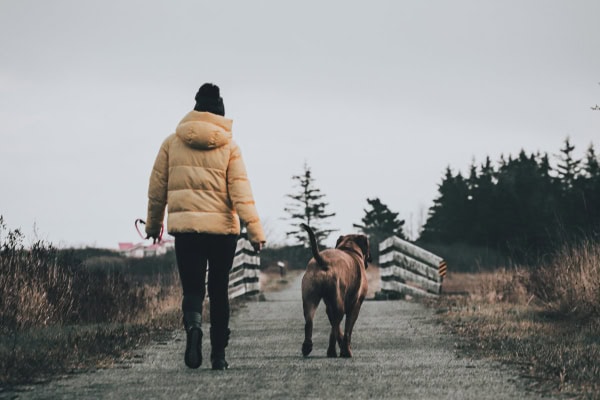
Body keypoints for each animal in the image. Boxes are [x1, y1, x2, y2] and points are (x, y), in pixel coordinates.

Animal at [300, 223, 370, 358]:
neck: (349, 249)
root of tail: (323, 261)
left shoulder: (329, 307)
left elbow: (339, 329)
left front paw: (343, 345)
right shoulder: (355, 306)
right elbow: (347, 329)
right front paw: (345, 349)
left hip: (309, 299)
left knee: (310, 322)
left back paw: (307, 347)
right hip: (339, 305)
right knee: (334, 327)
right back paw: (332, 351)